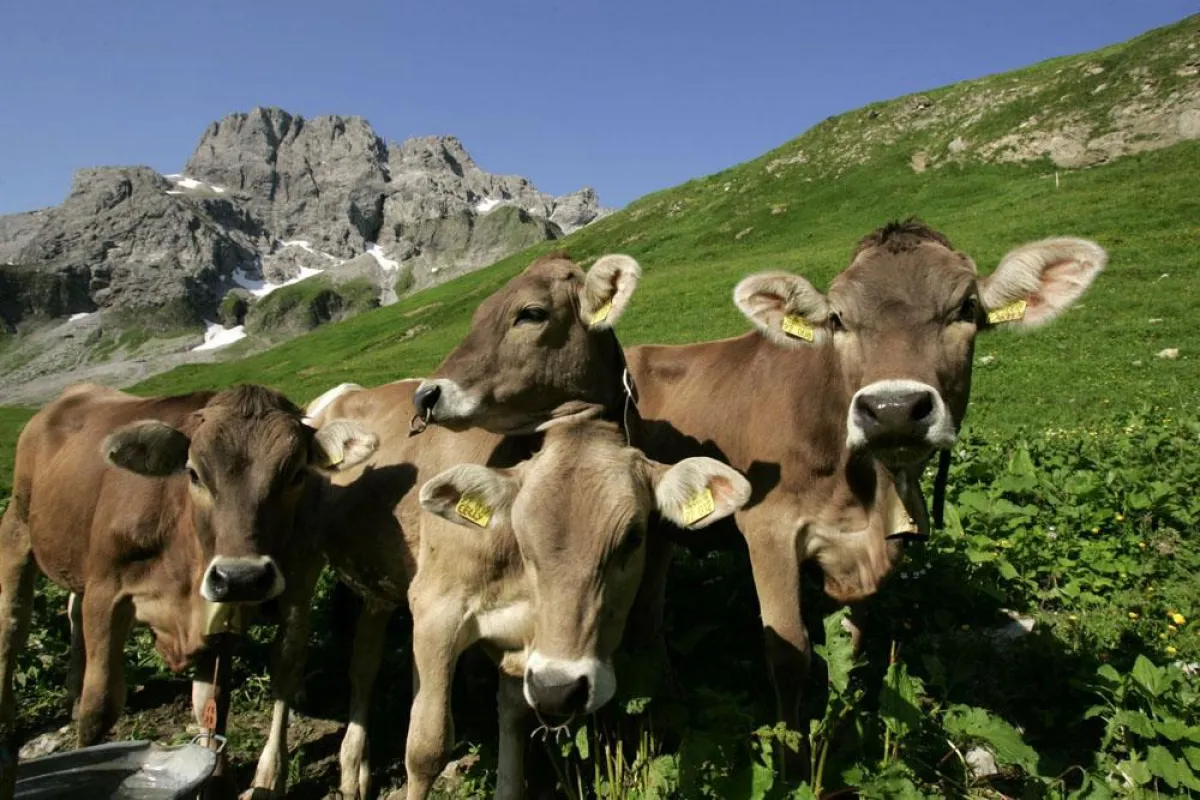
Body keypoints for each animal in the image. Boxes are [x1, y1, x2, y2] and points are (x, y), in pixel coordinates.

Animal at [0, 383, 376, 798]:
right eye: (194, 474)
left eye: (296, 475)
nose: (242, 576)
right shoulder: (105, 594)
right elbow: (99, 707)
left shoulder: (224, 613)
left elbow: (211, 706)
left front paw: (217, 782)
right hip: (17, 527)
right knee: (13, 623)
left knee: (70, 608)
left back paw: (71, 691)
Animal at [412, 220, 1106, 739]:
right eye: (838, 318)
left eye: (966, 308)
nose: (892, 408)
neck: (859, 485)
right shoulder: (768, 531)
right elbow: (790, 653)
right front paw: (795, 755)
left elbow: (852, 645)